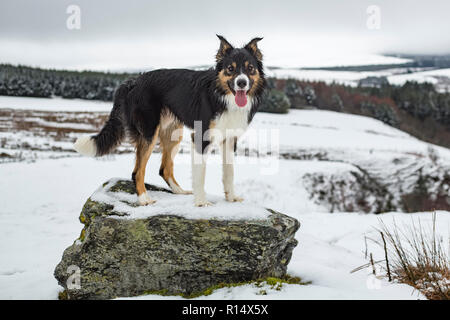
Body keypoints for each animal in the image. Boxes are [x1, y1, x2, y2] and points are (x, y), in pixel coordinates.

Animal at [73, 34, 264, 205]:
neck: (222, 96)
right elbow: (200, 174)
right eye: (230, 68)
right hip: (149, 132)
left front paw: (231, 198)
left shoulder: (229, 139)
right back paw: (144, 199)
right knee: (137, 171)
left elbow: (229, 173)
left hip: (173, 133)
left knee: (164, 169)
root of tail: (133, 81)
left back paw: (179, 191)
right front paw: (201, 202)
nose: (241, 83)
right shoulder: (201, 137)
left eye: (250, 68)